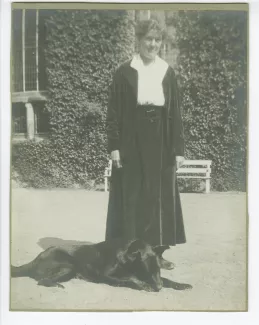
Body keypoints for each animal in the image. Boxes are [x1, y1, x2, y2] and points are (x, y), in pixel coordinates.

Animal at [11, 238, 192, 292]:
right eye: (148, 270)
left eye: (158, 269)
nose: (159, 288)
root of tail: (35, 259)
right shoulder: (106, 275)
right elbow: (129, 278)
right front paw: (142, 284)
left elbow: (168, 280)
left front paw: (181, 284)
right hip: (69, 266)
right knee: (41, 280)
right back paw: (56, 285)